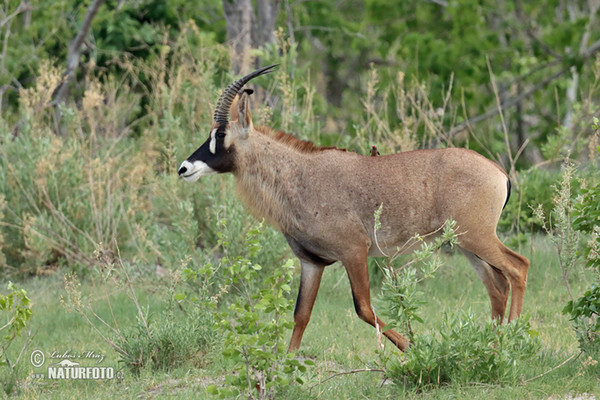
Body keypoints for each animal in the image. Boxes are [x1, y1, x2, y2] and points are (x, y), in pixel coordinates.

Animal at [178, 65, 528, 354]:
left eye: (221, 133)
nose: (184, 168)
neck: (300, 175)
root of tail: (499, 172)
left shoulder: (354, 252)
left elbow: (364, 307)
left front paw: (411, 346)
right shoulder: (312, 262)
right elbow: (301, 313)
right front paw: (286, 363)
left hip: (477, 236)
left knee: (518, 267)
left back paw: (510, 339)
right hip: (465, 244)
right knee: (498, 286)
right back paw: (493, 345)